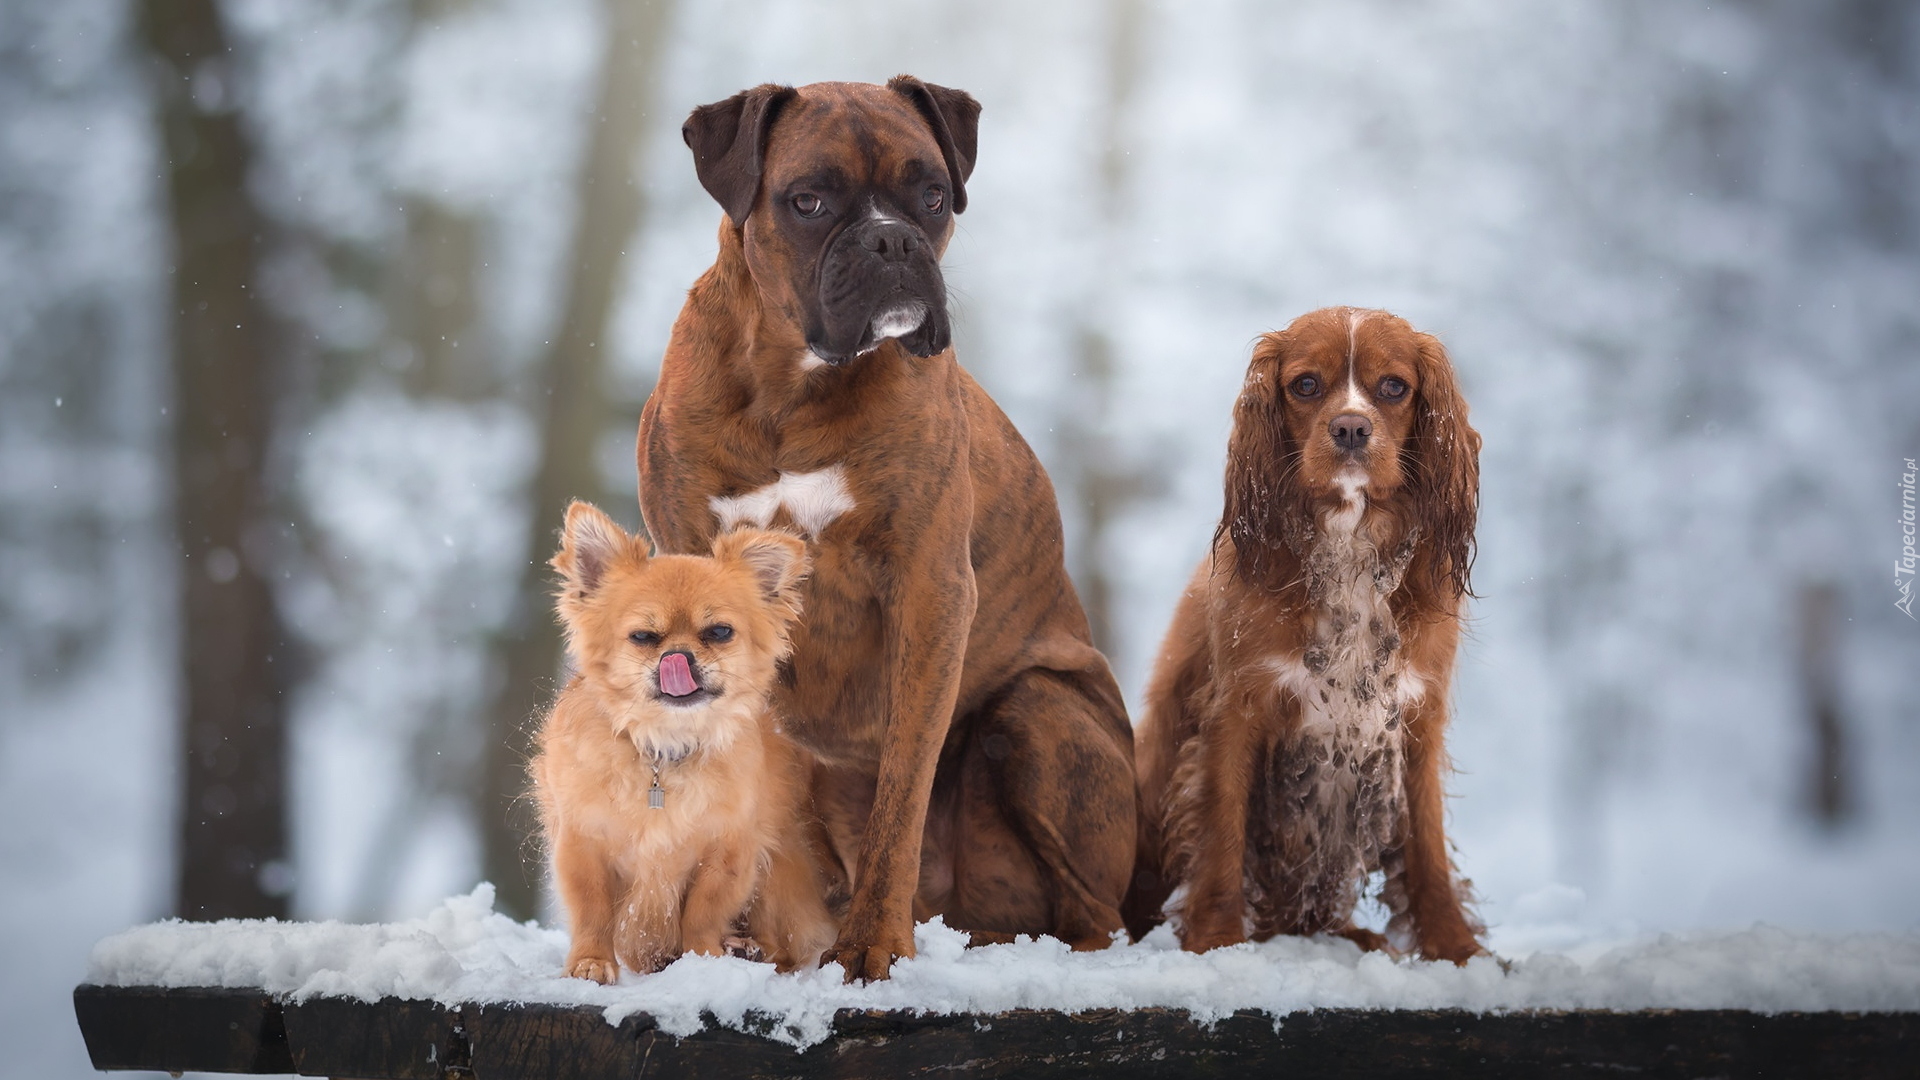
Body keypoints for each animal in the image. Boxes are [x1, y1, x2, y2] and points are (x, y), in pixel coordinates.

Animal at [533, 499, 833, 980]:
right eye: (643, 637)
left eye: (719, 632)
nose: (679, 657)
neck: (665, 747)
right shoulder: (584, 845)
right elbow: (592, 910)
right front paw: (591, 962)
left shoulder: (729, 853)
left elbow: (702, 911)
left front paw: (703, 960)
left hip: (779, 866)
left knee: (786, 944)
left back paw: (748, 948)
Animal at [637, 79, 1128, 980]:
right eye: (809, 199)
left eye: (931, 195)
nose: (892, 239)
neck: (793, 383)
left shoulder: (929, 593)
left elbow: (902, 789)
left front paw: (871, 946)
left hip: (1037, 714)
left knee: (1095, 916)